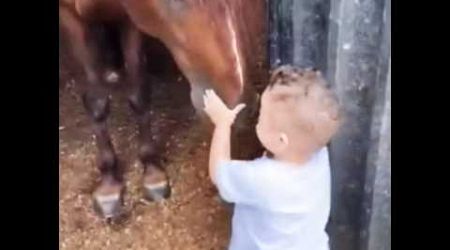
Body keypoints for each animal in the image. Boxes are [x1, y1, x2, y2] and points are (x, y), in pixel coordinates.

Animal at [59, 0, 268, 219]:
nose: (241, 106)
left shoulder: (130, 19)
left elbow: (138, 94)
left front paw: (152, 172)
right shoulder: (70, 17)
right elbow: (97, 103)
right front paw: (108, 184)